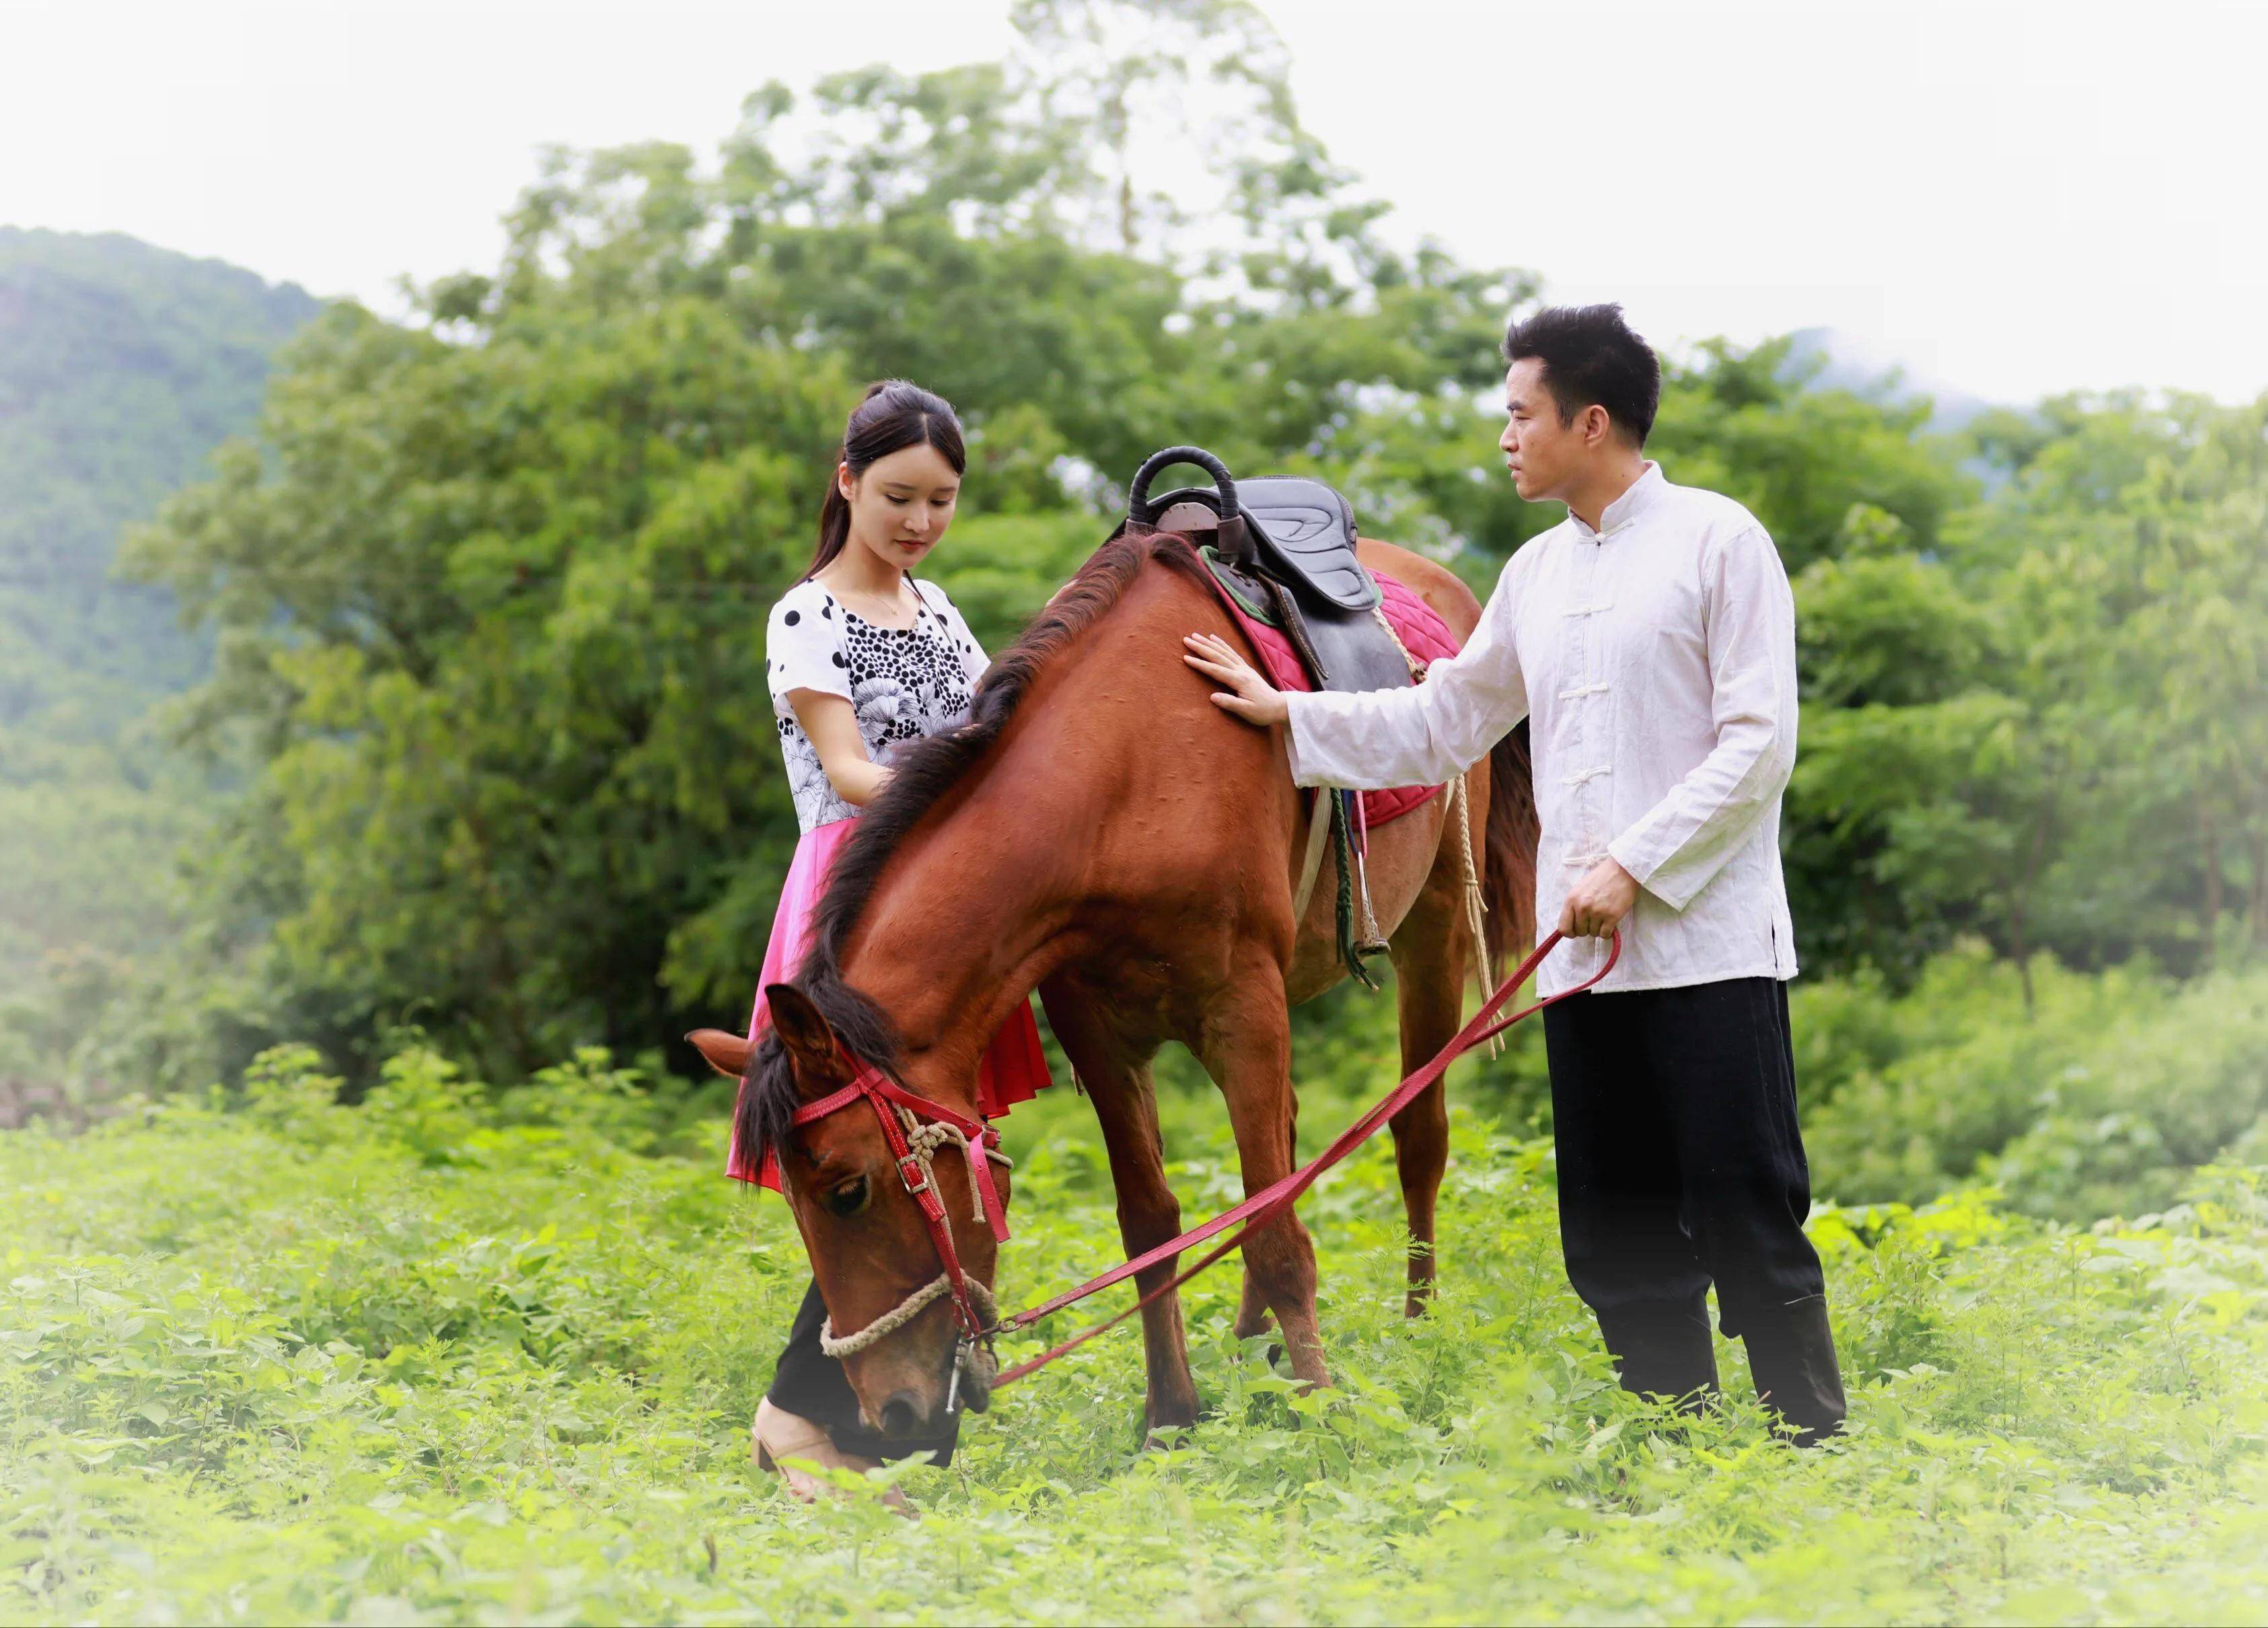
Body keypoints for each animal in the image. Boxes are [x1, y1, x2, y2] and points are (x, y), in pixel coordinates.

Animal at [694, 525, 1542, 1442]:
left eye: (846, 1191)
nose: (889, 1412)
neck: (1127, 776)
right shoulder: (1097, 1030)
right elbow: (1149, 1222)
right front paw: (1170, 1416)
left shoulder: (1240, 1009)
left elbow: (1276, 1231)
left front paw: (1321, 1414)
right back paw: (1253, 1347)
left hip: (1434, 926)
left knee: (1417, 1130)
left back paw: (1415, 1328)